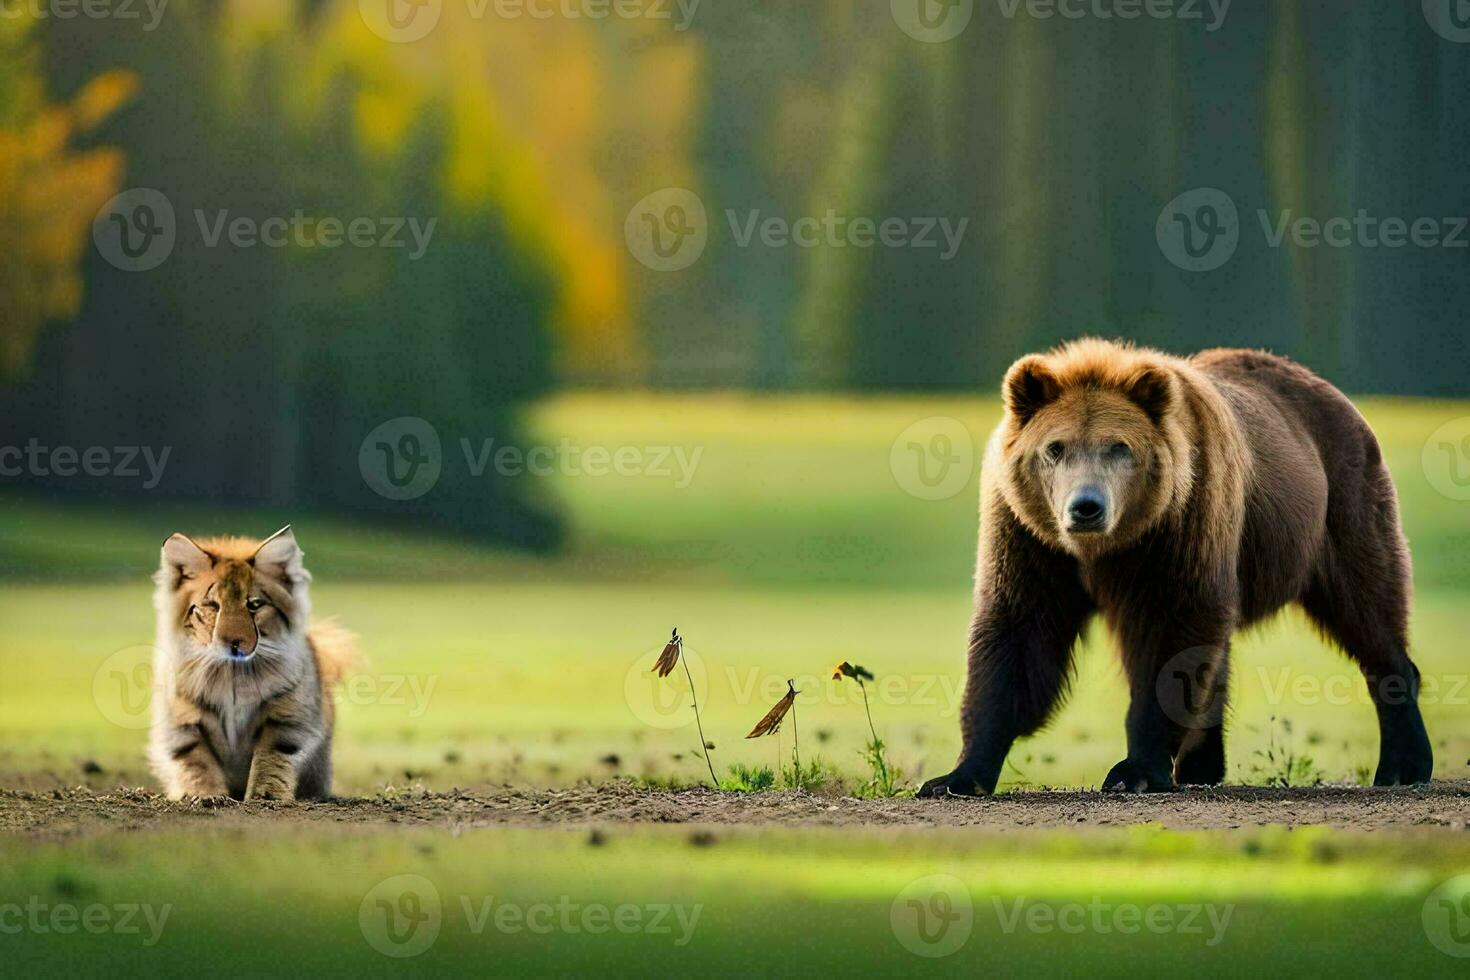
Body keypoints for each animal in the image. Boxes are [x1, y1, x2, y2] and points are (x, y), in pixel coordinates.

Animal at [917, 337, 1434, 799]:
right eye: (1055, 447)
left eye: (1119, 447)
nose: (1086, 507)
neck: (1104, 548)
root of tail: (1323, 387)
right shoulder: (1031, 538)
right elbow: (1018, 633)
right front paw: (956, 776)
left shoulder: (1180, 526)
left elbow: (1172, 633)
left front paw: (1135, 770)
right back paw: (1201, 764)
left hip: (1339, 504)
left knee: (1367, 605)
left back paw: (1404, 762)